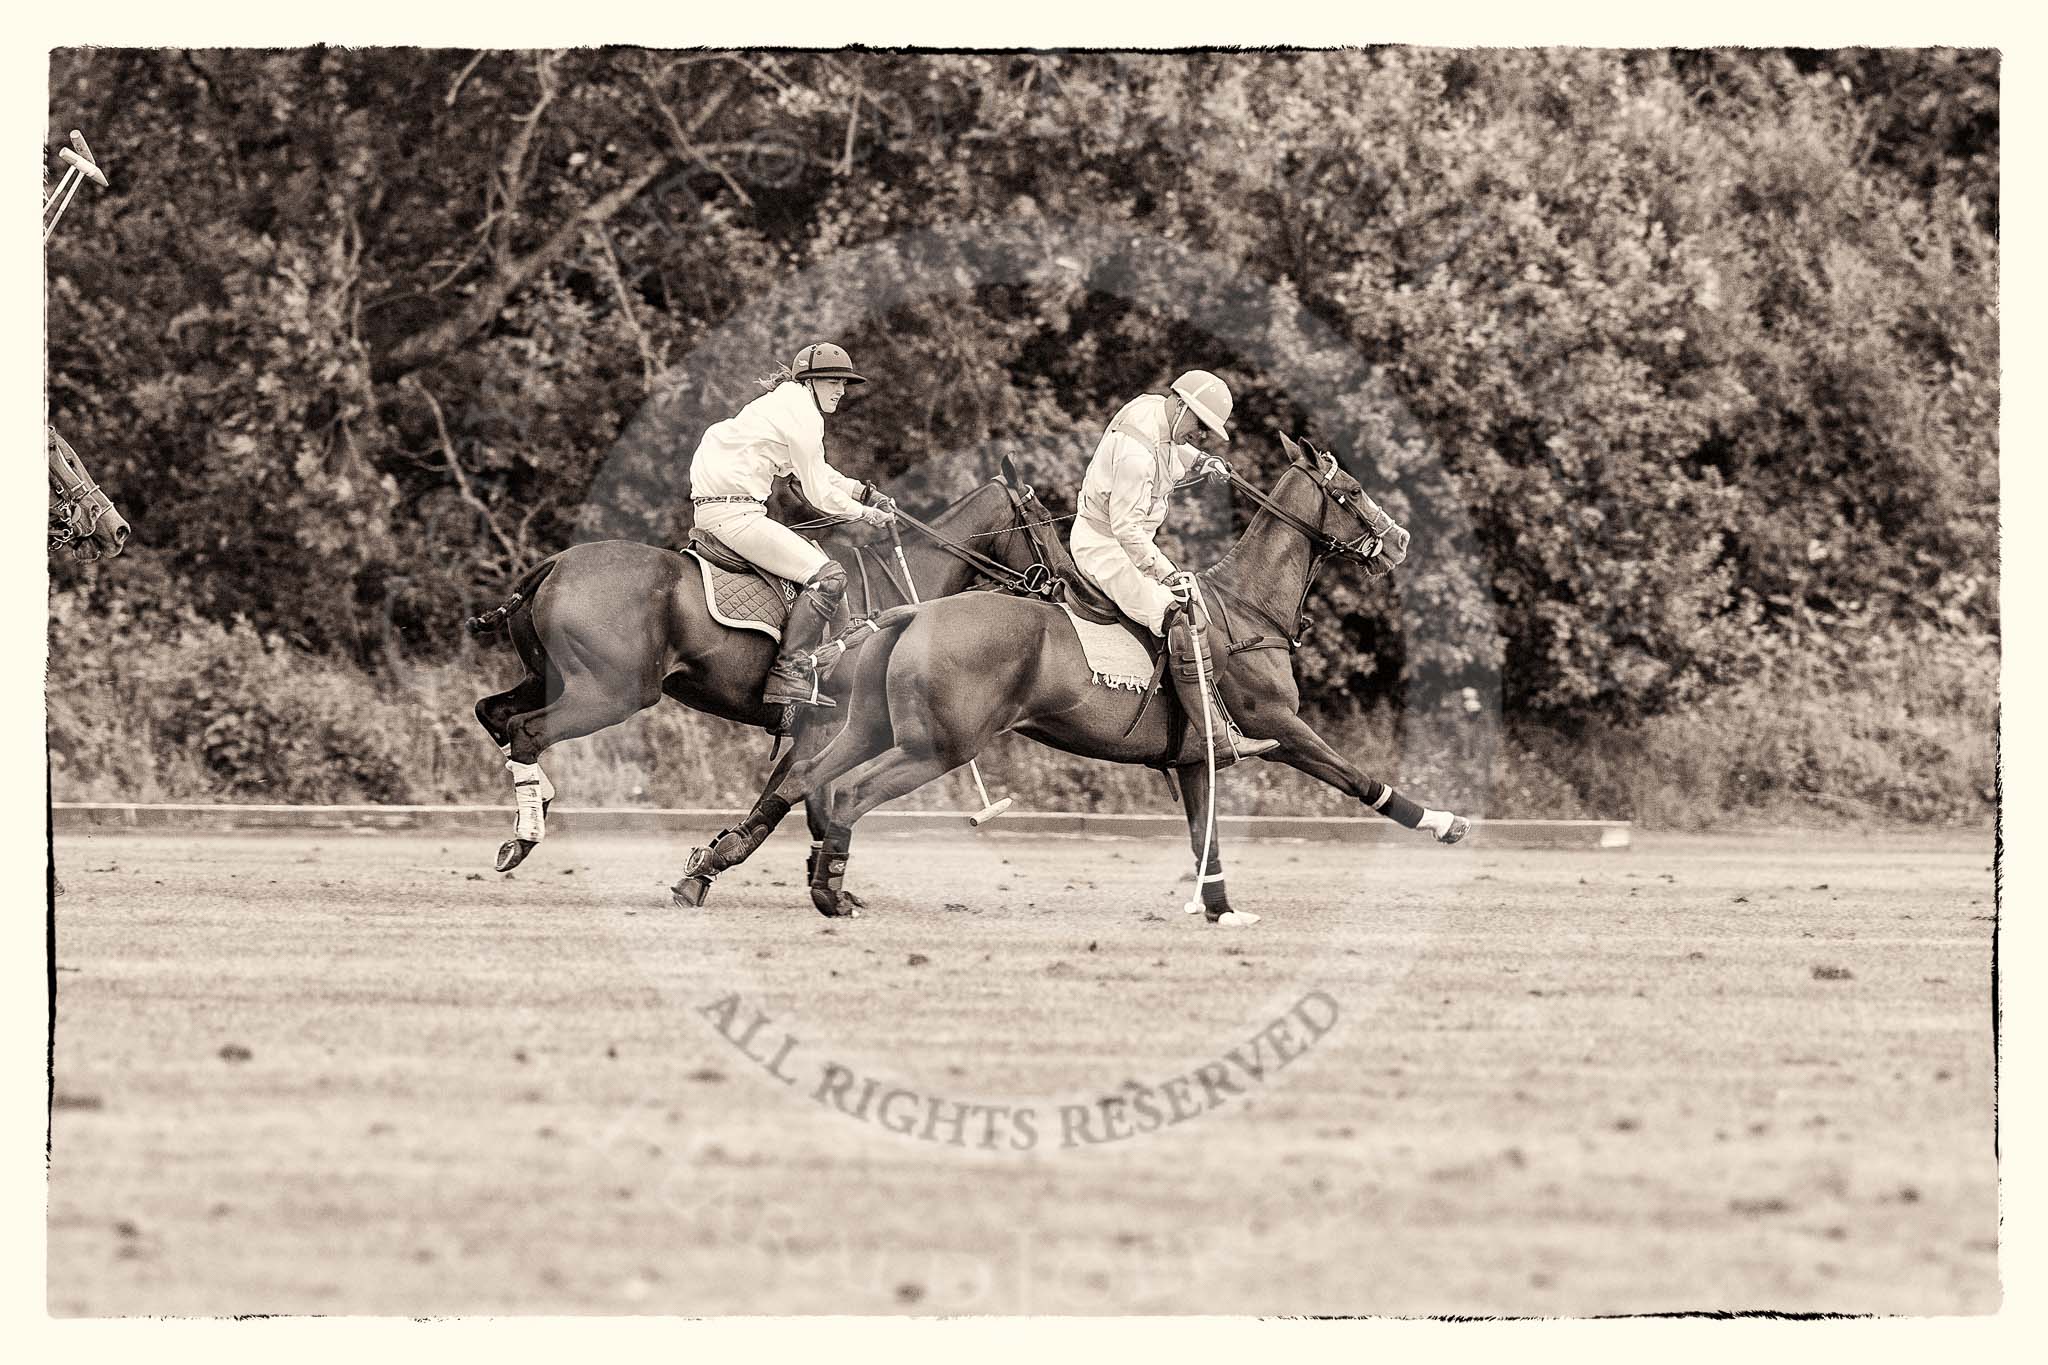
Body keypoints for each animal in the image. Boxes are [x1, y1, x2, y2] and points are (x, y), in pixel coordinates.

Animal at [458, 474, 1048, 871]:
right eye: (1043, 525)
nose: (1061, 582)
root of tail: (553, 564)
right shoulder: (829, 723)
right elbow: (801, 797)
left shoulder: (811, 726)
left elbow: (794, 795)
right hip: (612, 691)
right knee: (525, 730)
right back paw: (526, 836)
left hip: (552, 678)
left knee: (495, 713)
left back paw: (530, 815)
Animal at [737, 437, 1474, 925]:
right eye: (1350, 492)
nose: (1400, 539)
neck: (1248, 611)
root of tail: (915, 608)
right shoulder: (1275, 723)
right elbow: (1355, 776)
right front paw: (1444, 822)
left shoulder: (1196, 758)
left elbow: (1205, 833)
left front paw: (1220, 908)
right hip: (939, 745)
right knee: (847, 793)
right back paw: (828, 892)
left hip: (876, 725)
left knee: (811, 781)